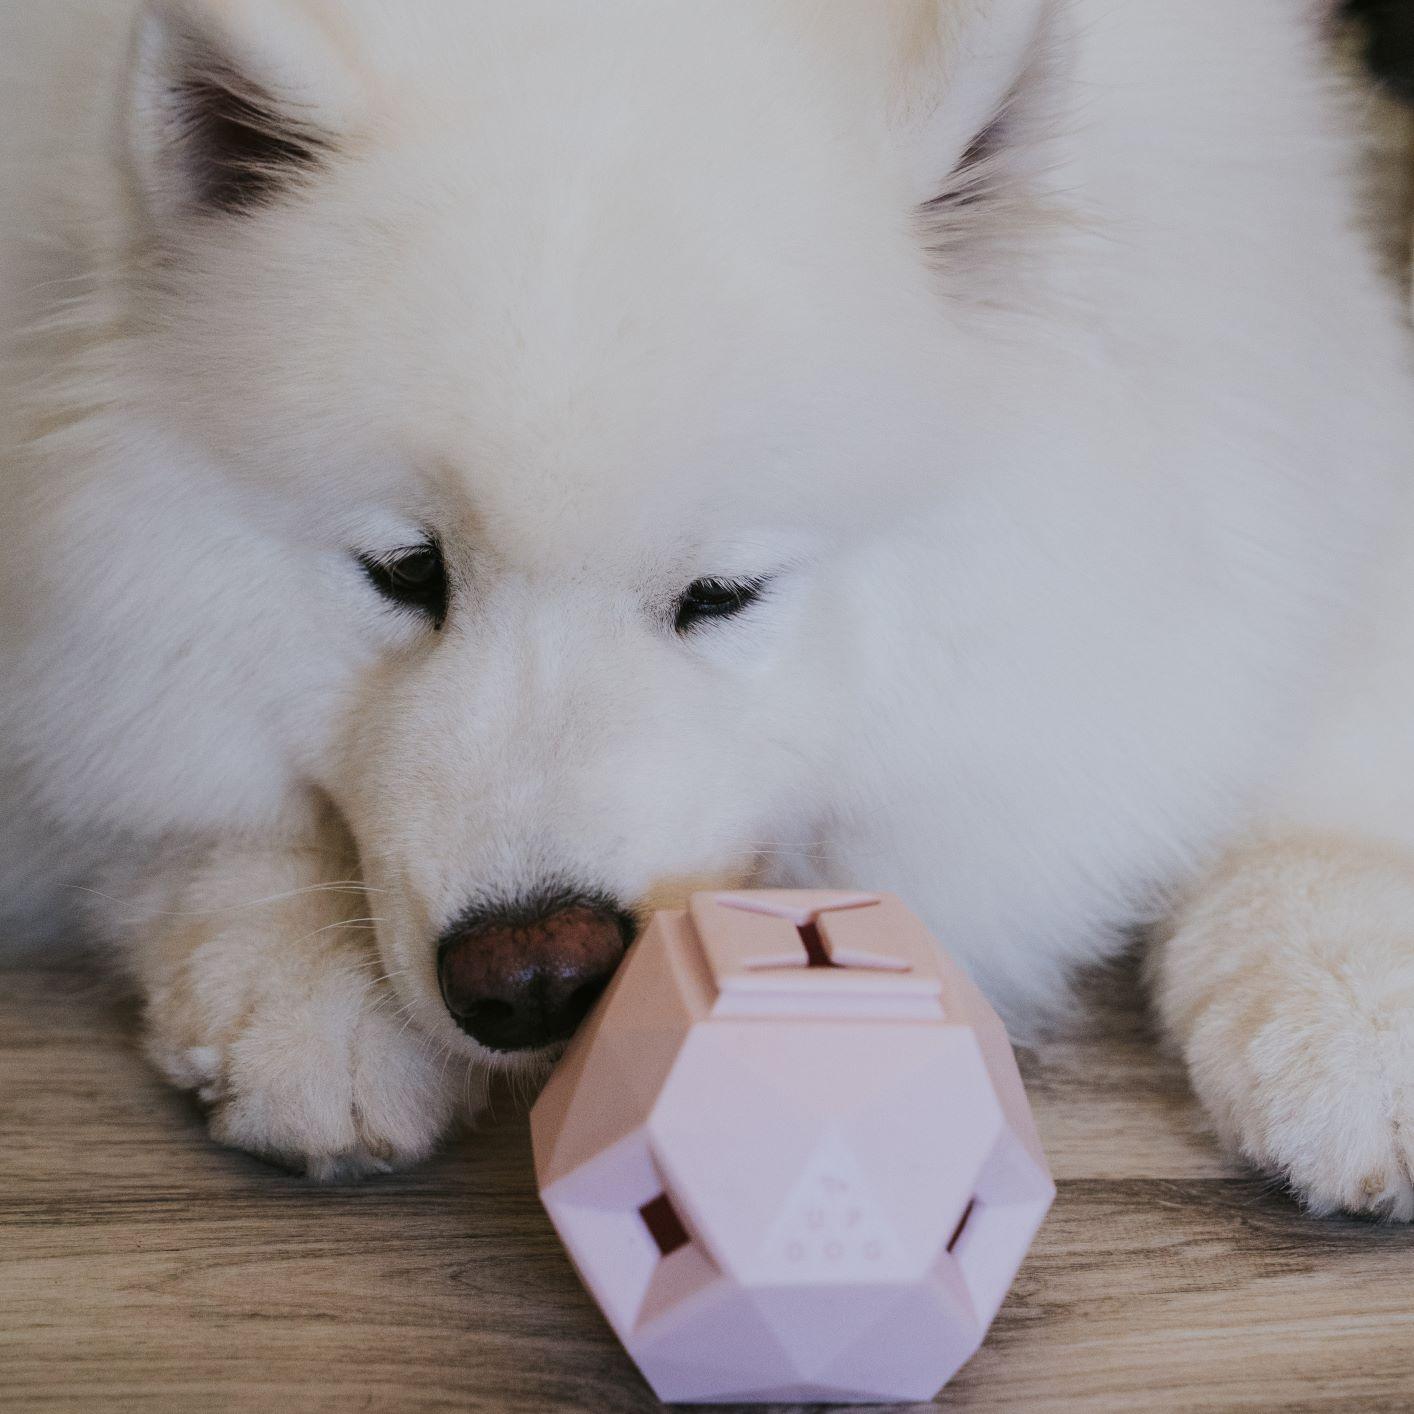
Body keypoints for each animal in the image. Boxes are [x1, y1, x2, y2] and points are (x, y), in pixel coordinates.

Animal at [2, 0, 1414, 1216]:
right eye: (407, 571)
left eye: (722, 595)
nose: (530, 976)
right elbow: (155, 789)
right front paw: (302, 986)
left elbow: (1330, 762)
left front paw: (1356, 1011)